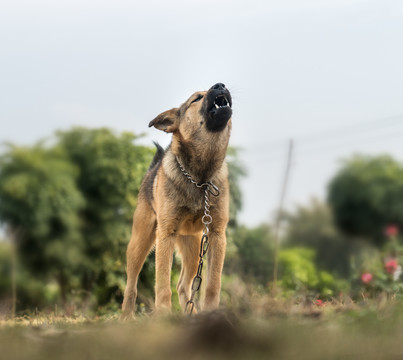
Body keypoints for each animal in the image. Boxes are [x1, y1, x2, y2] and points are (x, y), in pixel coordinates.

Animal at [121, 82, 232, 318]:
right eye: (196, 98)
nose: (220, 84)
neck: (200, 178)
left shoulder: (217, 234)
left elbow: (213, 284)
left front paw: (211, 313)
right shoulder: (166, 235)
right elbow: (162, 285)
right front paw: (163, 315)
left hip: (194, 247)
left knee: (183, 285)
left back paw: (192, 314)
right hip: (140, 243)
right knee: (131, 285)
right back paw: (126, 316)